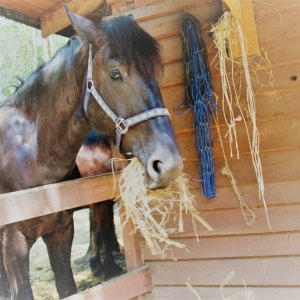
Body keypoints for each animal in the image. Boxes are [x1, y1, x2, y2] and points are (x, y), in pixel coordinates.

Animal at [76, 127, 126, 278]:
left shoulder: (97, 204)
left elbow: (95, 231)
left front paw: (96, 266)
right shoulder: (101, 203)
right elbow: (105, 233)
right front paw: (110, 267)